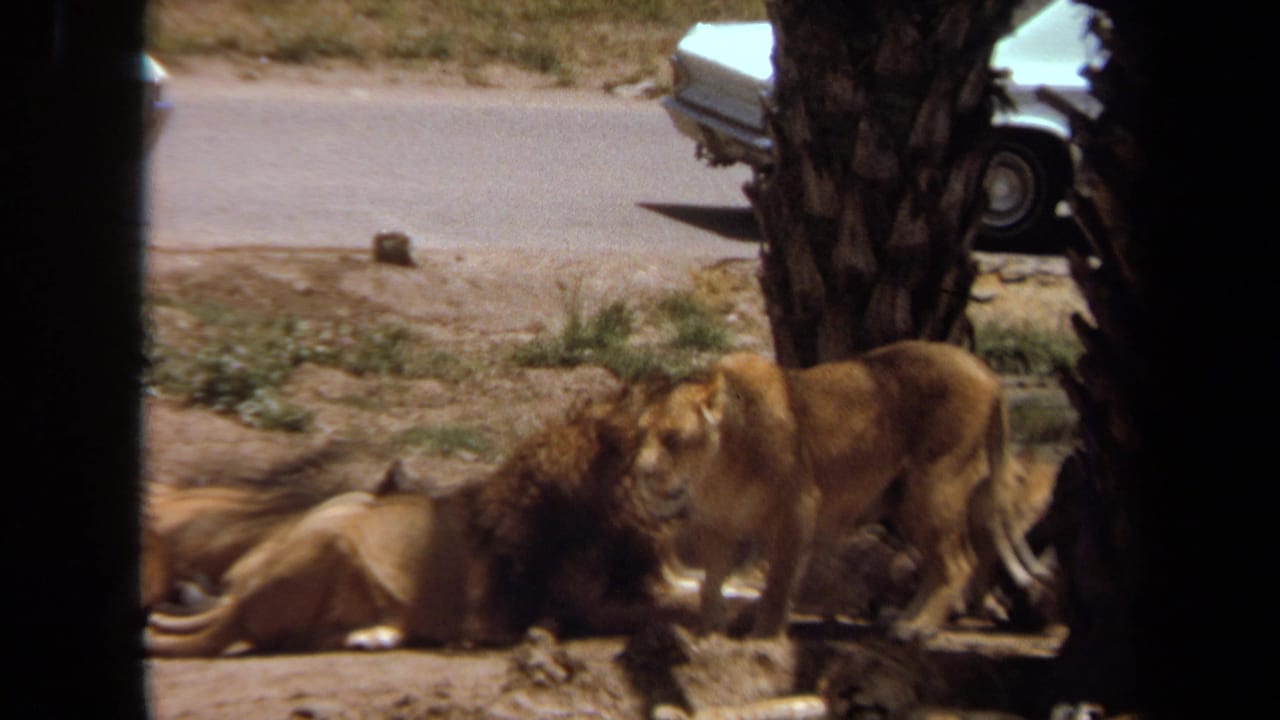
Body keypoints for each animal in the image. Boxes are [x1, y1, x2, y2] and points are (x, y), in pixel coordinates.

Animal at [631, 341, 1052, 641]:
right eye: (642, 433)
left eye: (674, 438)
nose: (641, 471)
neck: (718, 464)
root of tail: (984, 369)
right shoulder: (717, 523)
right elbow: (710, 583)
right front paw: (707, 630)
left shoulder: (799, 507)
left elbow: (778, 581)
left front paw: (763, 635)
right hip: (907, 503)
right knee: (939, 565)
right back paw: (901, 617)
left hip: (935, 487)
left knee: (958, 563)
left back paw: (916, 628)